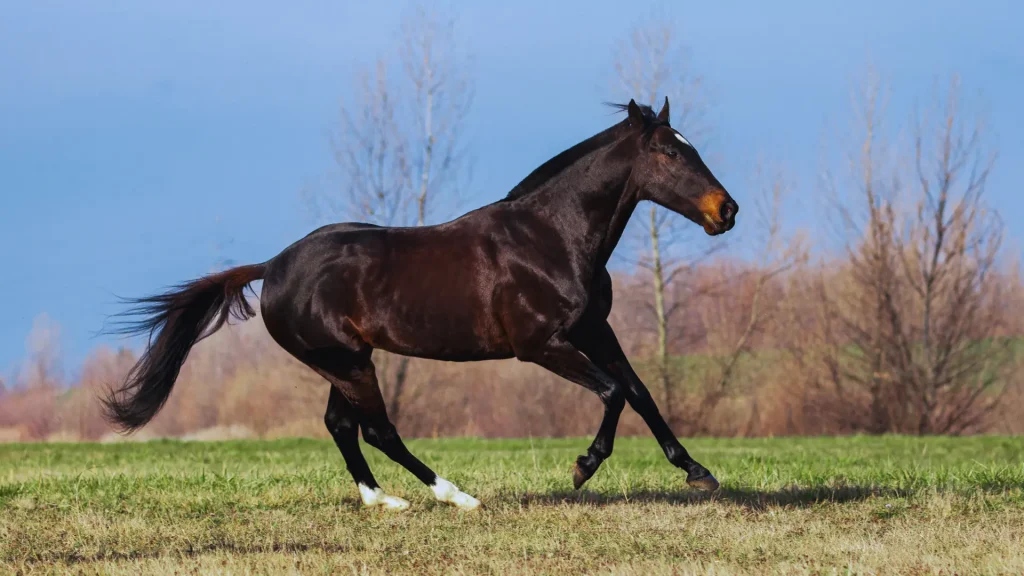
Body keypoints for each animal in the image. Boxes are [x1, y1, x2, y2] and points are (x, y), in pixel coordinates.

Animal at [103, 98, 738, 511]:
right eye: (668, 152)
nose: (726, 211)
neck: (551, 238)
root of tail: (273, 267)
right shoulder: (542, 345)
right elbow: (611, 393)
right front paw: (583, 467)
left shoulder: (593, 330)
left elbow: (640, 392)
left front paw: (699, 473)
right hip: (346, 360)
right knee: (377, 429)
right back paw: (456, 496)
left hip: (346, 360)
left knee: (341, 425)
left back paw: (383, 501)